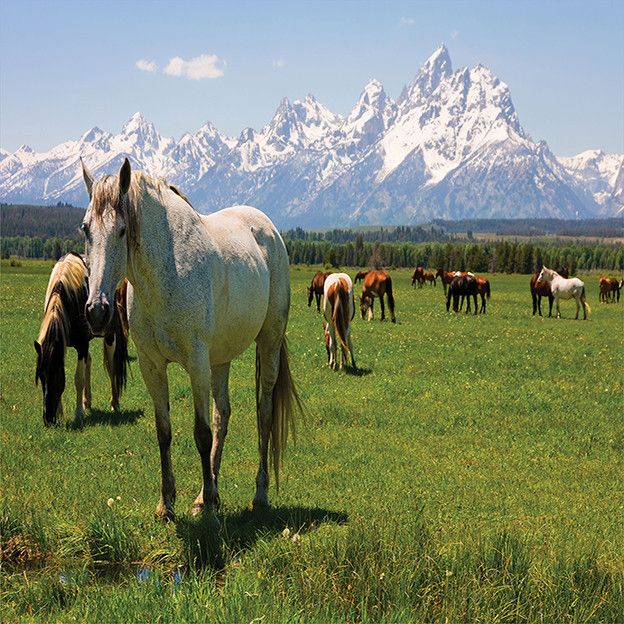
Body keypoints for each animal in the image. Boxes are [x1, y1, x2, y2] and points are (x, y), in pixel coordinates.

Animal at [34, 251, 130, 426]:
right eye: (41, 377)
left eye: (56, 376)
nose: (48, 419)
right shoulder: (64, 345)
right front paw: (61, 413)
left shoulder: (81, 344)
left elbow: (78, 379)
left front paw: (78, 415)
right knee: (89, 362)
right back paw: (88, 402)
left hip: (109, 336)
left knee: (111, 366)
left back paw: (114, 403)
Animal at [81, 158, 302, 520]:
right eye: (85, 229)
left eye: (123, 230)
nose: (97, 312)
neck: (164, 275)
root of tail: (268, 228)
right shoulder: (152, 365)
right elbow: (165, 431)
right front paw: (168, 503)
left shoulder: (197, 363)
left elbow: (201, 433)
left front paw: (209, 507)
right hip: (220, 359)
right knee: (222, 414)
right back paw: (205, 494)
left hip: (268, 344)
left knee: (264, 413)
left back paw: (258, 494)